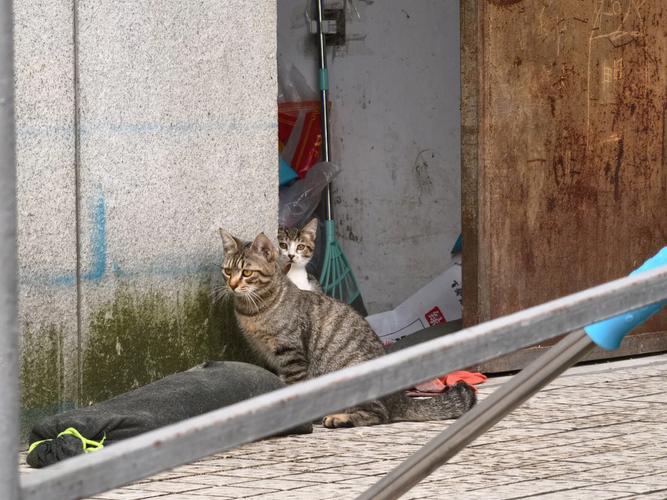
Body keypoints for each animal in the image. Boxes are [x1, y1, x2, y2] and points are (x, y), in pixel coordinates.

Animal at [218, 229, 474, 428]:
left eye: (247, 273)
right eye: (227, 271)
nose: (232, 285)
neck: (253, 309)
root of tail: (399, 398)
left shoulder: (291, 354)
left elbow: (292, 387)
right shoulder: (266, 355)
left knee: (380, 414)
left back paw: (339, 418)